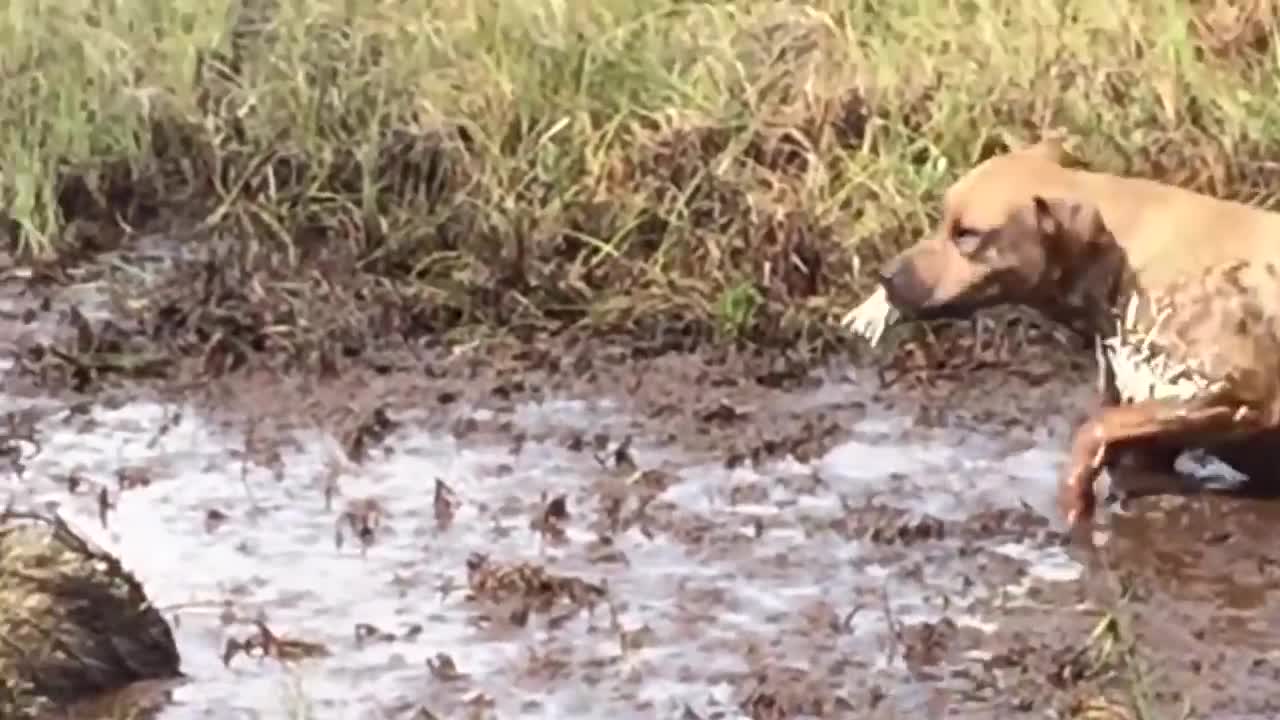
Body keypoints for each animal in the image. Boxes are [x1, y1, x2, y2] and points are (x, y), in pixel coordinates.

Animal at [844, 139, 1280, 532]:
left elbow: (1094, 431)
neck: (1117, 259)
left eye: (967, 234)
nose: (884, 276)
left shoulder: (1234, 395)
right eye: (942, 219)